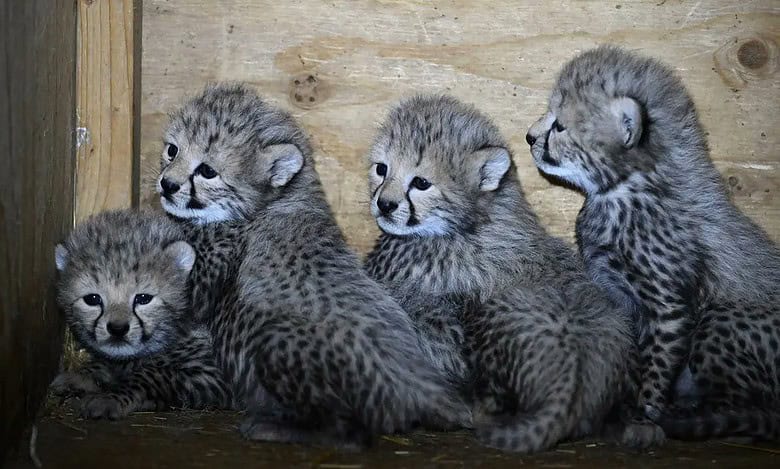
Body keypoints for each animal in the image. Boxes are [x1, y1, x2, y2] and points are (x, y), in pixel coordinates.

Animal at [50, 209, 233, 419]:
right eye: (93, 299)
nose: (118, 329)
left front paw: (110, 398)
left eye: (143, 298)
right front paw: (81, 376)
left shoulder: (215, 375)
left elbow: (153, 374)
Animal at [156, 83, 471, 448]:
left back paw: (270, 427)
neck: (281, 196)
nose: (167, 185)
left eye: (207, 171)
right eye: (172, 150)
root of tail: (419, 384)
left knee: (346, 432)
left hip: (277, 343)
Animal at [527, 45, 780, 441]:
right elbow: (632, 356)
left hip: (721, 316)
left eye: (560, 126)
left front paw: (644, 416)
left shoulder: (669, 309)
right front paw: (621, 406)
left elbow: (656, 365)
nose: (528, 137)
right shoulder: (619, 298)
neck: (624, 191)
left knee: (743, 399)